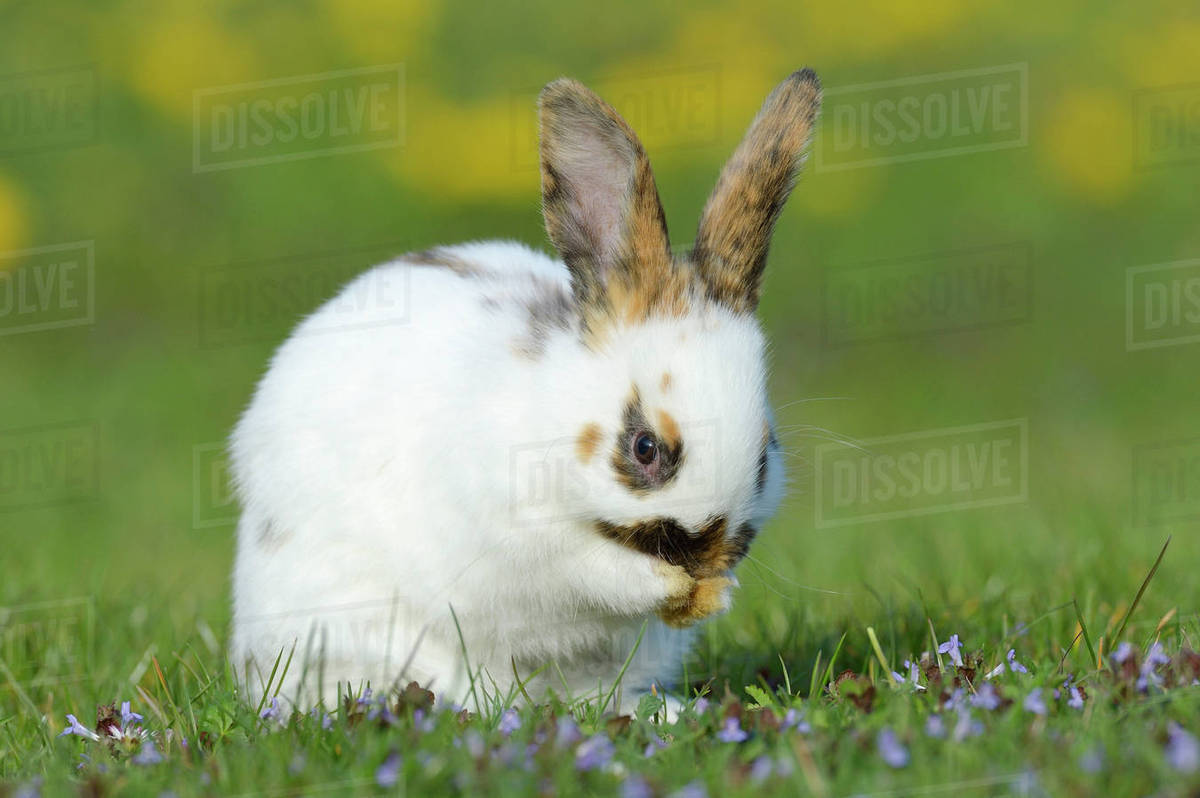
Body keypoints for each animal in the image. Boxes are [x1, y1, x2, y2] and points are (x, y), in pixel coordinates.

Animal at [229, 68, 821, 717]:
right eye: (644, 448)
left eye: (765, 458)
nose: (706, 557)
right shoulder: (529, 543)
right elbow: (595, 571)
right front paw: (669, 584)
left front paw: (715, 594)